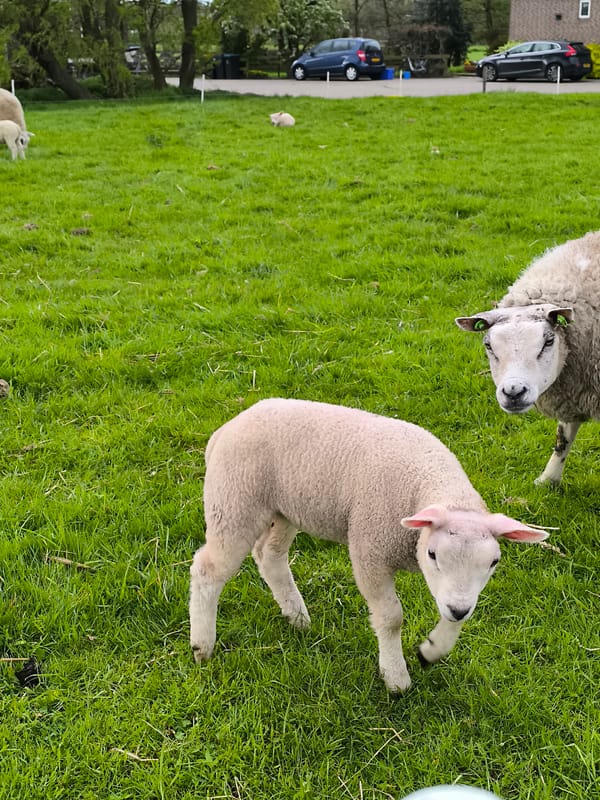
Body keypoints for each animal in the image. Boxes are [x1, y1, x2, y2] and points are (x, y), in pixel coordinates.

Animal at [189, 398, 548, 692]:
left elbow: (454, 614)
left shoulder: (456, 591)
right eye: (432, 554)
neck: (429, 482)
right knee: (208, 569)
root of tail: (225, 429)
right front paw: (396, 677)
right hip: (235, 502)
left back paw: (297, 616)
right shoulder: (370, 548)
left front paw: (432, 650)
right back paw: (202, 646)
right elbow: (391, 618)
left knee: (269, 555)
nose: (459, 609)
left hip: (285, 509)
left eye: (493, 563)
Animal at [456, 230, 600, 485]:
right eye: (488, 346)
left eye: (548, 342)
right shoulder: (573, 390)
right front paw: (548, 480)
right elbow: (563, 437)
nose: (513, 392)